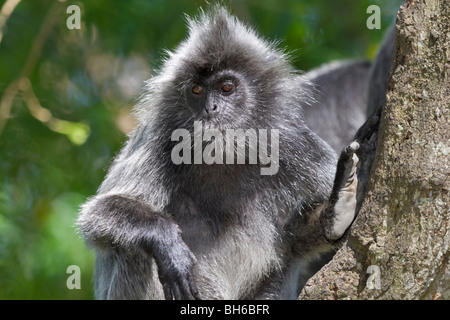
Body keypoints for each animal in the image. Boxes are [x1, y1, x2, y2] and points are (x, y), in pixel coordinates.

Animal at [77, 5, 364, 300]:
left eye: (227, 88)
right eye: (197, 90)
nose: (210, 108)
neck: (224, 153)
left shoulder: (293, 143)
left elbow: (297, 240)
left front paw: (336, 213)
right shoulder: (160, 141)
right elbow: (97, 215)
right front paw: (168, 244)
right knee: (135, 252)